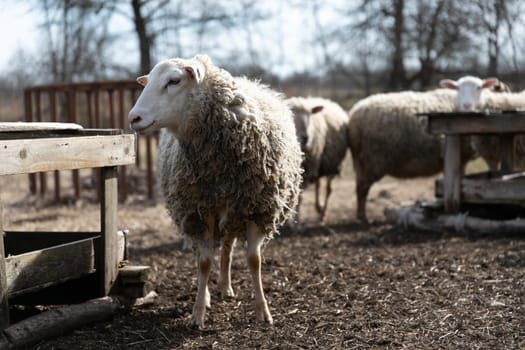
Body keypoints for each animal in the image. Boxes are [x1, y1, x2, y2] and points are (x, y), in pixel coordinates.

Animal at [127, 54, 304, 328]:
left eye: (174, 81)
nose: (133, 118)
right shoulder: (199, 212)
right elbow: (204, 262)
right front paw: (198, 313)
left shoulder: (257, 208)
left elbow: (254, 260)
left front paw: (263, 311)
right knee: (205, 252)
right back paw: (212, 292)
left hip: (232, 211)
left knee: (228, 247)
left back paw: (225, 286)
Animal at [346, 89, 476, 223]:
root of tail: (354, 113)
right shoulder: (461, 157)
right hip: (371, 160)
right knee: (362, 189)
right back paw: (362, 217)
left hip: (361, 161)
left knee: (360, 187)